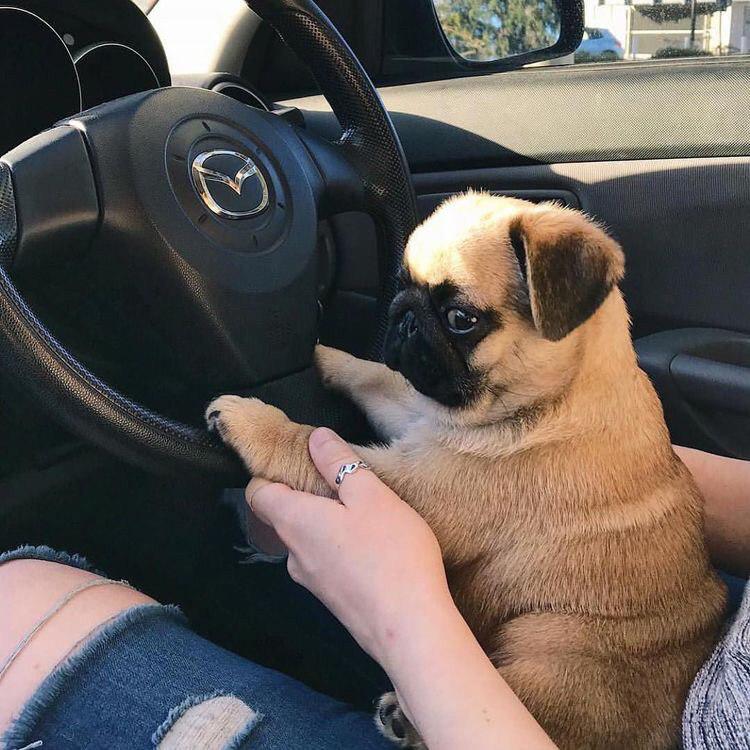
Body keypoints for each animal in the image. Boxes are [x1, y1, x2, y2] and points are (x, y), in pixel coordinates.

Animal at [206, 195, 728, 750]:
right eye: (402, 281)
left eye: (460, 318)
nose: (403, 314)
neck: (558, 394)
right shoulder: (418, 412)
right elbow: (376, 377)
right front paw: (327, 355)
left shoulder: (407, 484)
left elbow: (305, 443)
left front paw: (251, 420)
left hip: (550, 640)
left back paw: (406, 719)